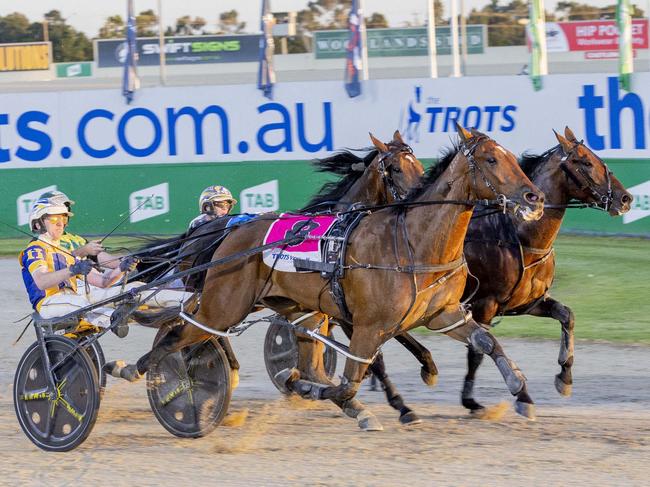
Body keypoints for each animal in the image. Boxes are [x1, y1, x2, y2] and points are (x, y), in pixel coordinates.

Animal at [124, 126, 544, 430]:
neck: (412, 241)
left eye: (512, 157)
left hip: (299, 310)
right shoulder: (367, 324)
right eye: (491, 159)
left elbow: (486, 342)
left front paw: (521, 393)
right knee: (182, 336)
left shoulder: (444, 314)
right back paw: (138, 371)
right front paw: (386, 406)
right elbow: (351, 379)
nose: (534, 197)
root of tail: (231, 231)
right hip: (223, 305)